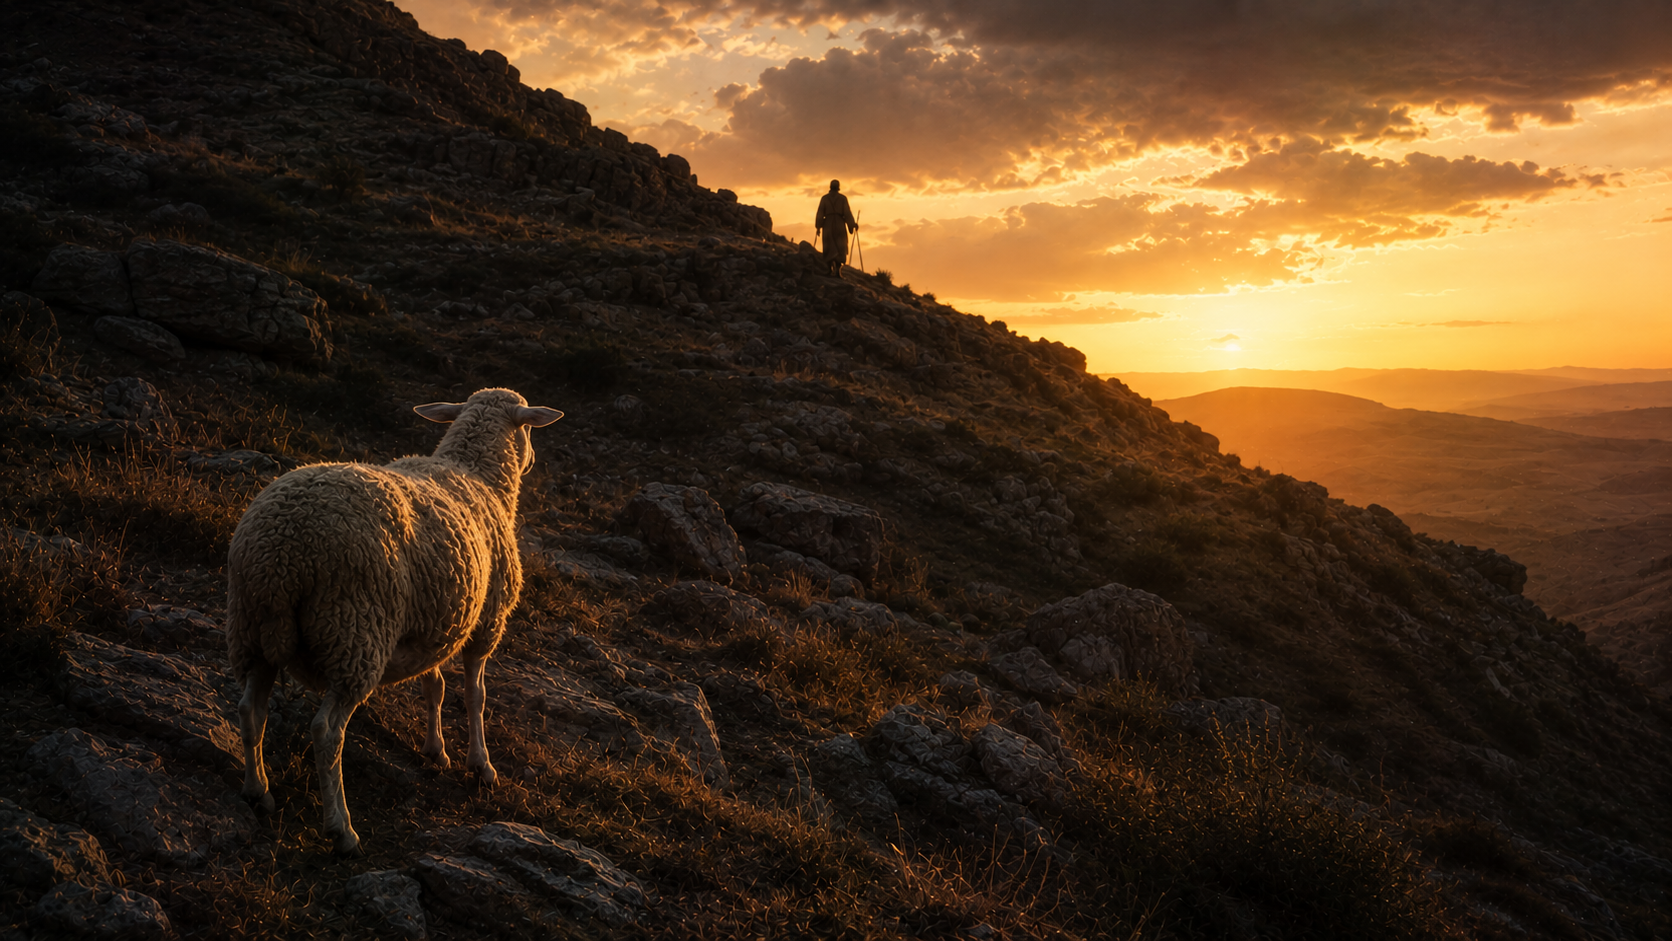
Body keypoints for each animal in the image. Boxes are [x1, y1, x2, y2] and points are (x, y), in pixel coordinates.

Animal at [225, 387, 563, 854]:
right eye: (529, 427)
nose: (531, 461)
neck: (476, 471)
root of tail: (280, 553)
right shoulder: (486, 622)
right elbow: (475, 695)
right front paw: (481, 765)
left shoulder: (436, 622)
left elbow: (434, 686)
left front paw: (435, 750)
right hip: (356, 633)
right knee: (326, 732)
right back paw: (342, 829)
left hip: (253, 629)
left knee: (250, 711)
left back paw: (257, 791)